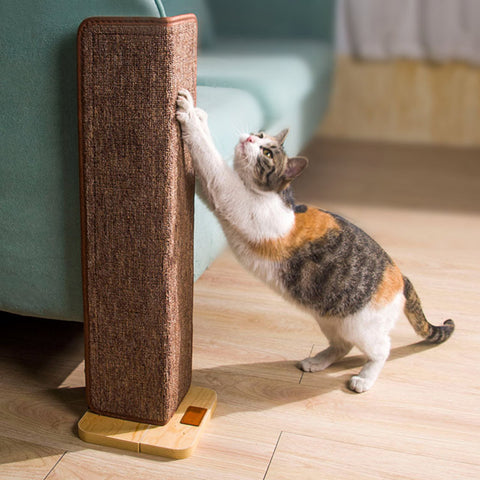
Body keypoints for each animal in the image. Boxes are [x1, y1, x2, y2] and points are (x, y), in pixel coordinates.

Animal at [175, 88, 454, 392]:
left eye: (267, 152)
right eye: (259, 134)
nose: (249, 138)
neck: (275, 197)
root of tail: (402, 278)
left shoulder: (230, 197)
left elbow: (211, 160)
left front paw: (190, 114)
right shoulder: (217, 197)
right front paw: (200, 115)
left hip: (361, 327)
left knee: (382, 349)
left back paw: (364, 379)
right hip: (330, 318)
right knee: (342, 346)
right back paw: (317, 361)